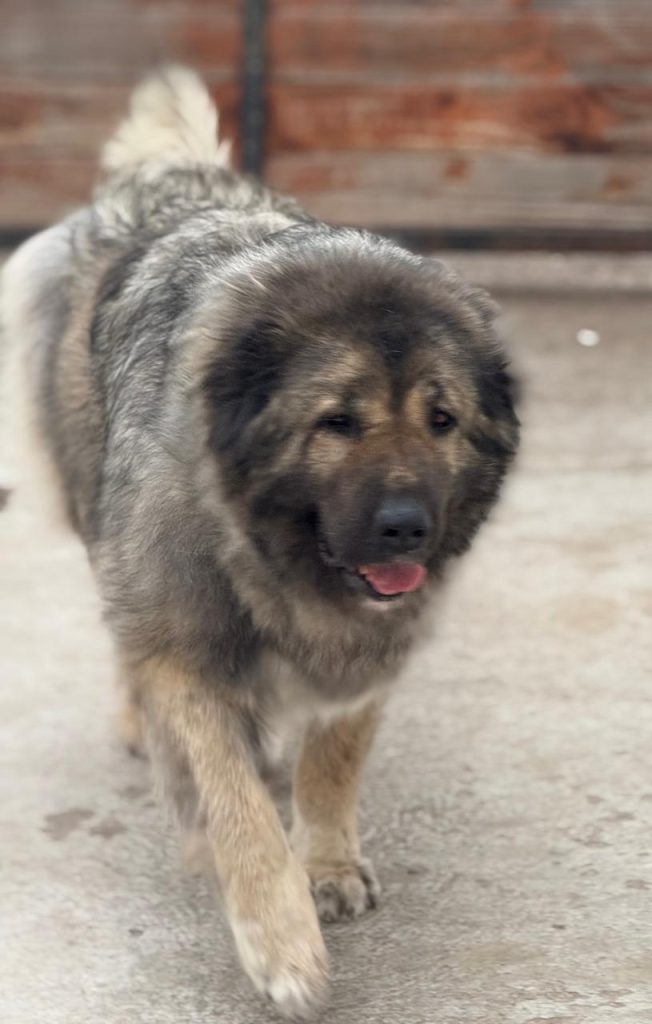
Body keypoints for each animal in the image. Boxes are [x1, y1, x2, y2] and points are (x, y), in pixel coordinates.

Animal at [1, 68, 519, 1018]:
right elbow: (232, 798)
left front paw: (329, 860)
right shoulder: (186, 640)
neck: (271, 550)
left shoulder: (374, 642)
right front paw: (279, 938)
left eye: (442, 421)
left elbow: (334, 759)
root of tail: (169, 175)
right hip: (97, 503)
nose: (407, 527)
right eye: (338, 422)